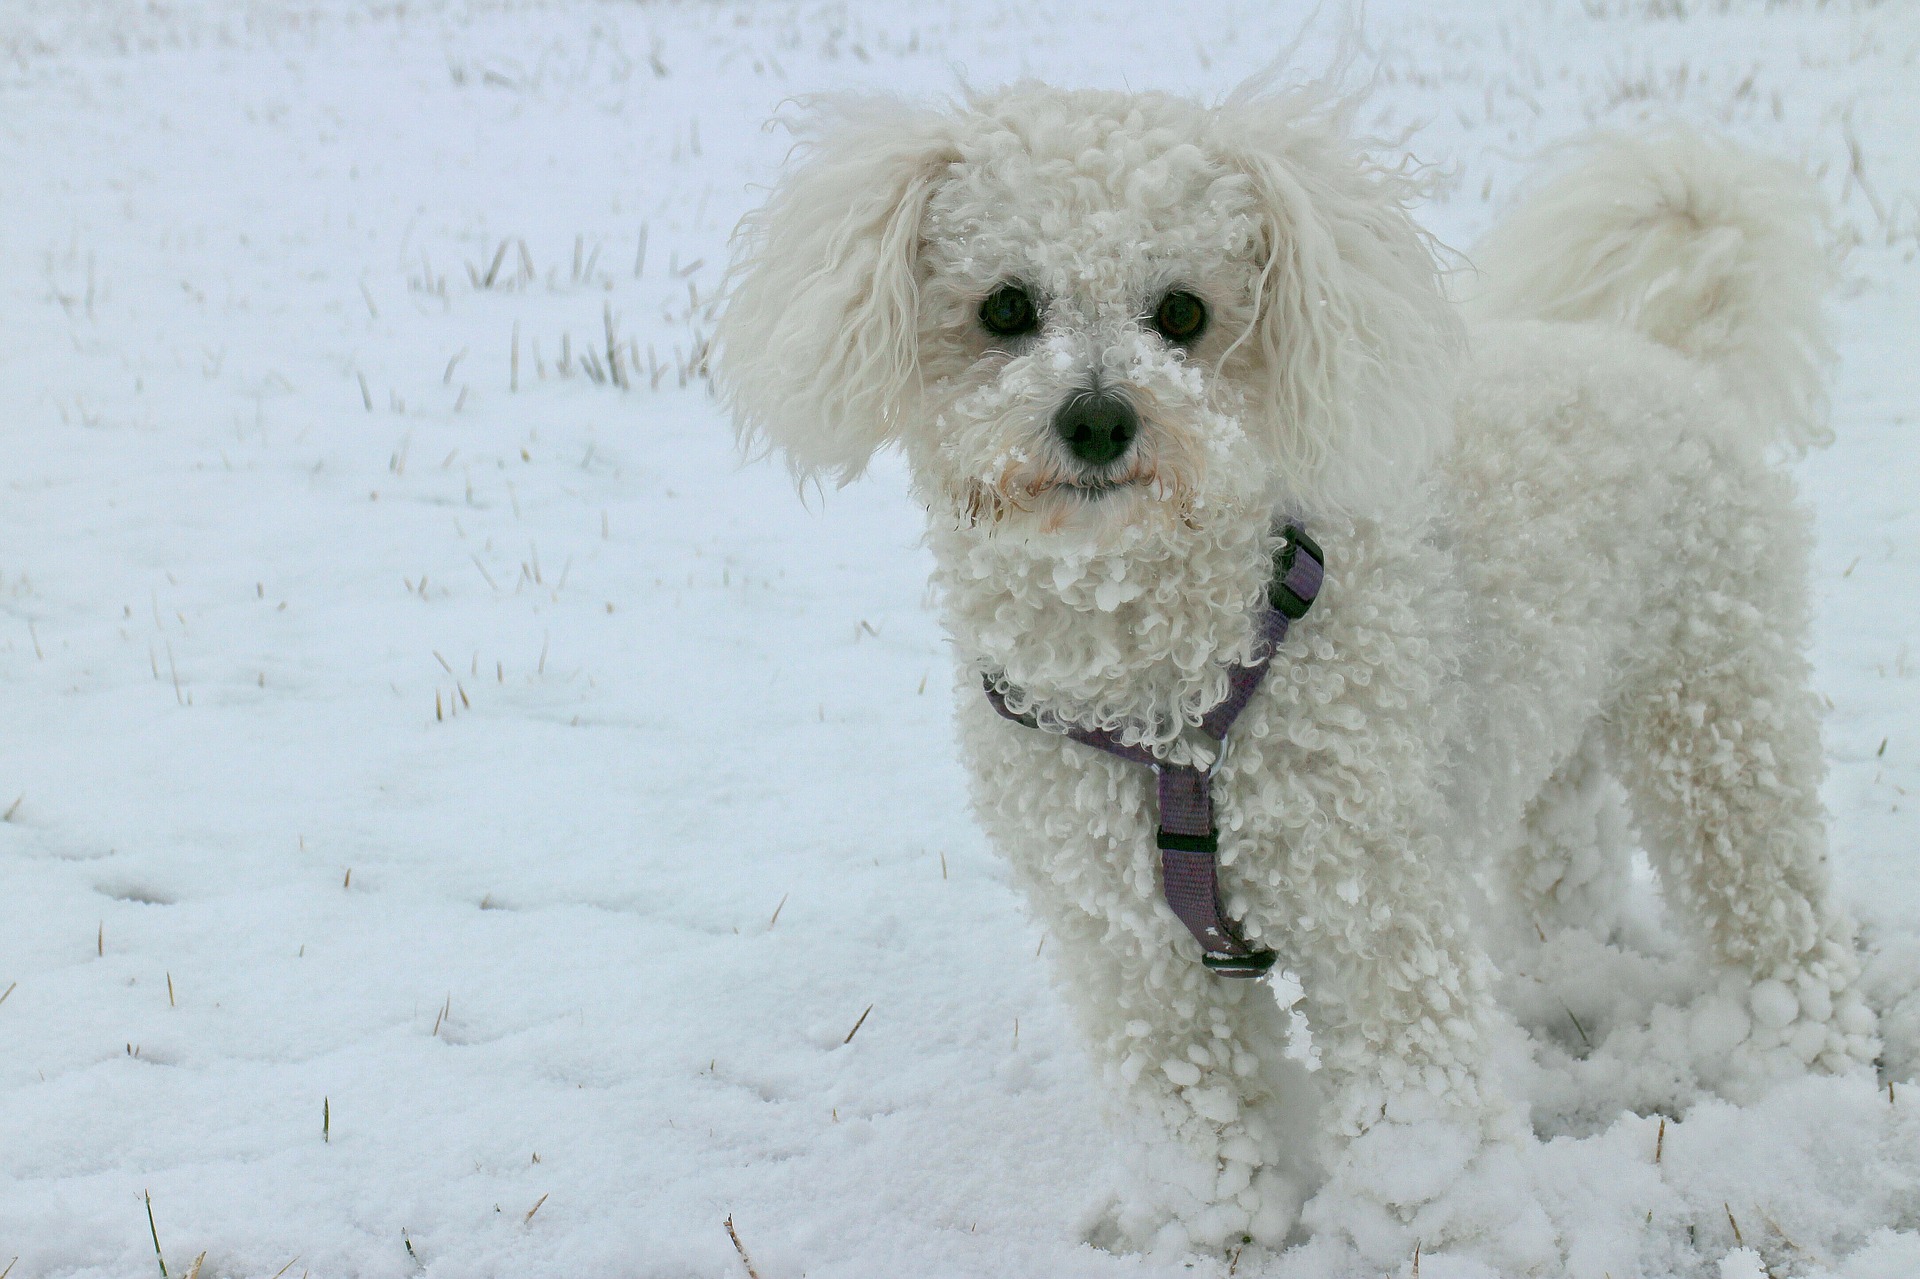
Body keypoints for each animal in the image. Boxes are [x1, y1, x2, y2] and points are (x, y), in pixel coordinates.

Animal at [714, 82, 1881, 1267]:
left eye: (1183, 312)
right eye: (1004, 306)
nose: (1097, 418)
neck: (1171, 697)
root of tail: (1660, 353)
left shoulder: (1372, 908)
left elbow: (1419, 1115)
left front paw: (1446, 1238)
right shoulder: (1133, 948)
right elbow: (1193, 1113)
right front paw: (1213, 1235)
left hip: (1717, 712)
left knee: (1775, 912)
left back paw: (1809, 1080)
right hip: (1547, 708)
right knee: (1568, 852)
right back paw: (1561, 977)